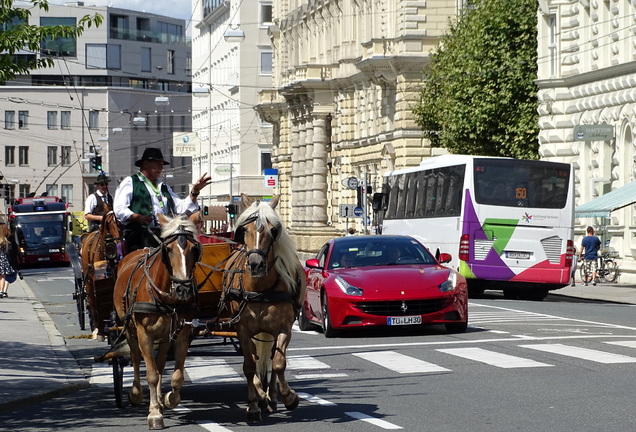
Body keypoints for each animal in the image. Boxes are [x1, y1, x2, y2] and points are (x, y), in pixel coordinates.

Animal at [80, 208, 122, 340]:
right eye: (108, 223)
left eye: (120, 222)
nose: (118, 242)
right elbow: (98, 303)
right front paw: (100, 332)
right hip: (88, 281)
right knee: (92, 302)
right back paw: (95, 328)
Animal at [113, 214, 200, 430]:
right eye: (168, 249)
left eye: (194, 249)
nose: (183, 289)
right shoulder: (144, 333)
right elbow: (151, 373)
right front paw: (154, 414)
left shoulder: (182, 334)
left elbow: (176, 376)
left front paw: (168, 399)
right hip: (130, 329)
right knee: (135, 358)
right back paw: (136, 393)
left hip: (166, 337)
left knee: (160, 363)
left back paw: (159, 398)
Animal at [221, 193, 306, 422]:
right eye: (244, 230)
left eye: (273, 230)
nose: (255, 264)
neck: (260, 289)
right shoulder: (242, 330)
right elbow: (249, 366)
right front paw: (252, 405)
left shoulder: (284, 328)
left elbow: (278, 362)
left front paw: (289, 397)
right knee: (256, 359)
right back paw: (260, 396)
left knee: (271, 359)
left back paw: (272, 398)